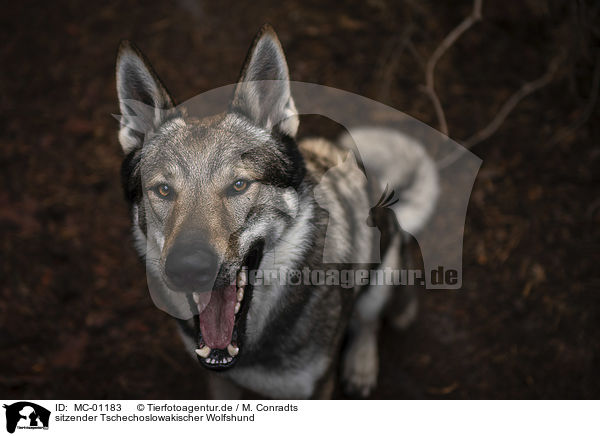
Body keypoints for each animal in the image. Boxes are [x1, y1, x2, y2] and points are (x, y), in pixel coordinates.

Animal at [115, 23, 438, 398]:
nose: (188, 269)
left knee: (368, 321)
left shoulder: (314, 387)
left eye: (239, 185)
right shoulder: (219, 383)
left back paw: (361, 365)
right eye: (164, 191)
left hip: (383, 273)